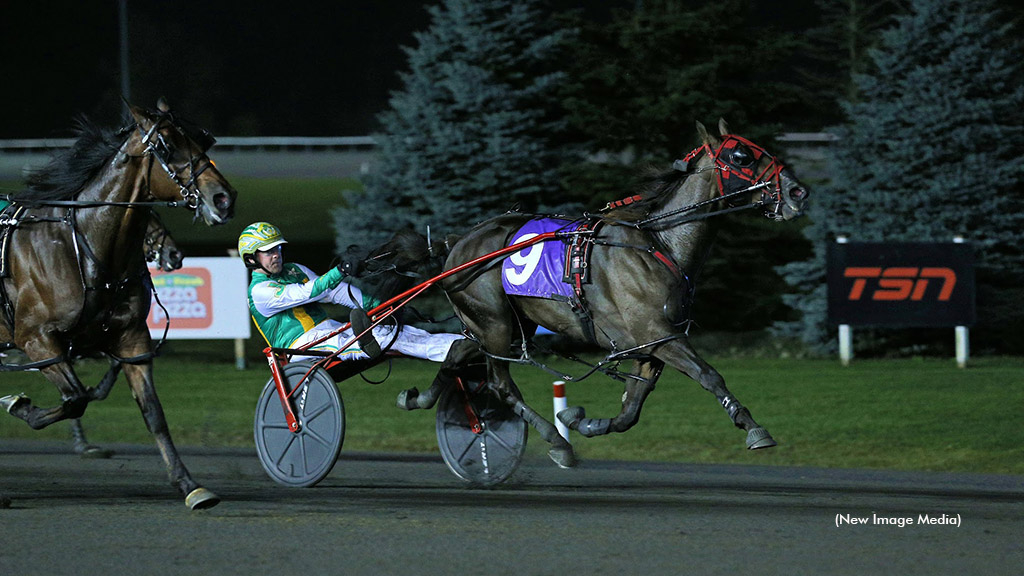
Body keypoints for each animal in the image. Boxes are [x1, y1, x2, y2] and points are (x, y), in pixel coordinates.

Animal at [1, 101, 235, 506]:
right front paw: (20, 405)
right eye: (167, 145)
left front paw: (189, 484)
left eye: (201, 139)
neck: (85, 248)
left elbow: (152, 412)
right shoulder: (35, 339)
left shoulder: (131, 338)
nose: (224, 198)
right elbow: (75, 398)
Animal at [376, 118, 806, 463]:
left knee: (454, 354)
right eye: (741, 156)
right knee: (500, 384)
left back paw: (418, 398)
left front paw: (583, 420)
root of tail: (458, 243)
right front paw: (753, 428)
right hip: (493, 323)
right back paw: (555, 441)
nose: (798, 191)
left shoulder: (649, 344)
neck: (660, 244)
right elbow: (709, 375)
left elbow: (630, 411)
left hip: (506, 326)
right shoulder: (658, 334)